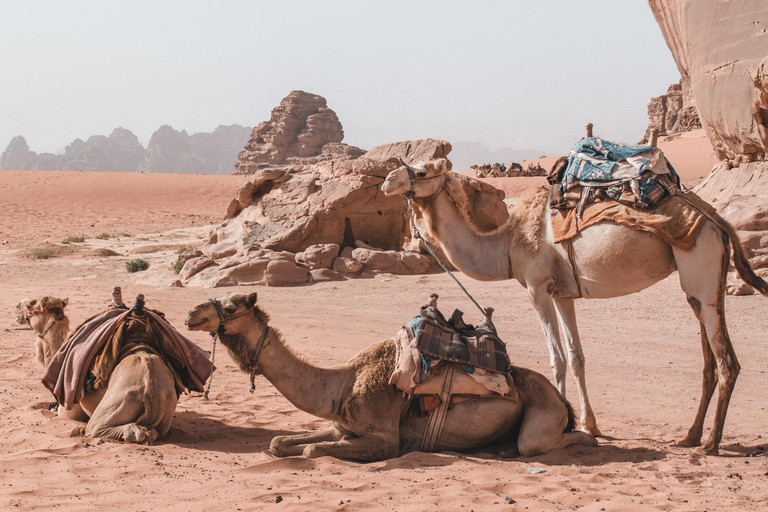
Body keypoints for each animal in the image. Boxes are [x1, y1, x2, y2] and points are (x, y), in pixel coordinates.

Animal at [184, 290, 592, 462]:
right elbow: (279, 442)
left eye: (231, 307)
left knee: (547, 442)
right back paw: (501, 448)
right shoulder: (341, 427)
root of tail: (561, 399)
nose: (191, 313)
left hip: (542, 414)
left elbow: (314, 451)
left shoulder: (383, 438)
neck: (341, 385)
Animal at [380, 158, 768, 454]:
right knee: (709, 358)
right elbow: (577, 356)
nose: (387, 180)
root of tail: (719, 221)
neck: (506, 244)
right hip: (700, 285)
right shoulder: (563, 294)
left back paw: (711, 444)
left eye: (423, 170)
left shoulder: (537, 288)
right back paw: (689, 436)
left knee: (727, 361)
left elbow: (557, 358)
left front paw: (562, 421)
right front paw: (590, 424)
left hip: (700, 265)